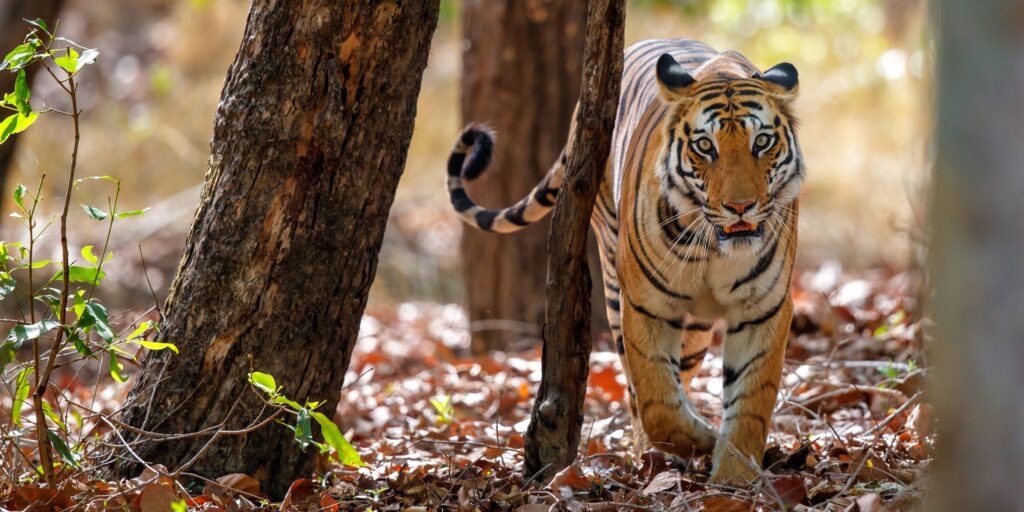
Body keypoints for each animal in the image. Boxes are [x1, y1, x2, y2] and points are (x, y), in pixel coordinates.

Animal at [445, 38, 802, 485]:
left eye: (763, 142)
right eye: (706, 146)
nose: (740, 206)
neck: (716, 249)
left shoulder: (763, 308)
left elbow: (751, 399)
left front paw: (734, 477)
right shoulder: (645, 305)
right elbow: (656, 400)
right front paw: (699, 441)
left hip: (695, 331)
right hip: (615, 284)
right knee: (639, 388)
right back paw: (654, 451)